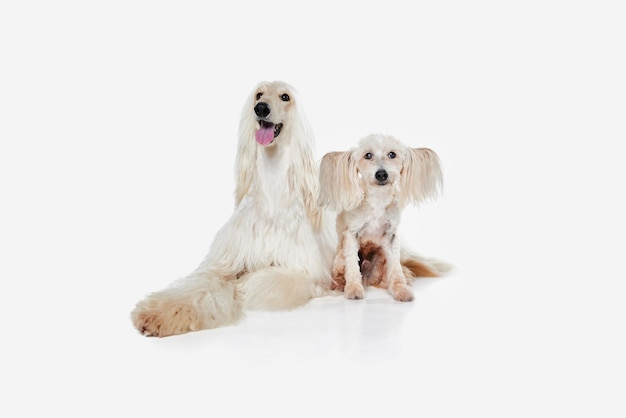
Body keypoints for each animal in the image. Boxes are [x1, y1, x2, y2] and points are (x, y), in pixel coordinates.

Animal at [129, 81, 336, 336]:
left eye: (285, 97)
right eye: (259, 94)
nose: (261, 109)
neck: (272, 198)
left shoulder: (306, 272)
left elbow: (258, 281)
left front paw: (240, 287)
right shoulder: (225, 262)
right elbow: (202, 283)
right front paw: (158, 313)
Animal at [316, 134, 444, 300]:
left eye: (392, 154)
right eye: (368, 155)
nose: (381, 174)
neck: (378, 201)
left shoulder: (391, 238)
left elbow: (395, 269)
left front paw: (400, 288)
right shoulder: (351, 235)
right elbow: (352, 268)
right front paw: (353, 289)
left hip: (380, 259)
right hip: (340, 258)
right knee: (341, 273)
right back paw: (339, 285)